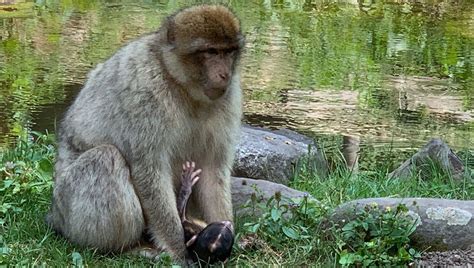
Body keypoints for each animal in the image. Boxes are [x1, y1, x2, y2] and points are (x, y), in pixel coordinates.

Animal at [45, 5, 244, 262]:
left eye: (229, 52)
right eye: (211, 51)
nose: (225, 74)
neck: (179, 83)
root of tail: (54, 215)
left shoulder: (229, 97)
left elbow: (213, 169)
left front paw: (227, 231)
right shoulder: (145, 91)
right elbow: (149, 170)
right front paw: (178, 250)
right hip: (68, 210)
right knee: (105, 157)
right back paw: (128, 247)